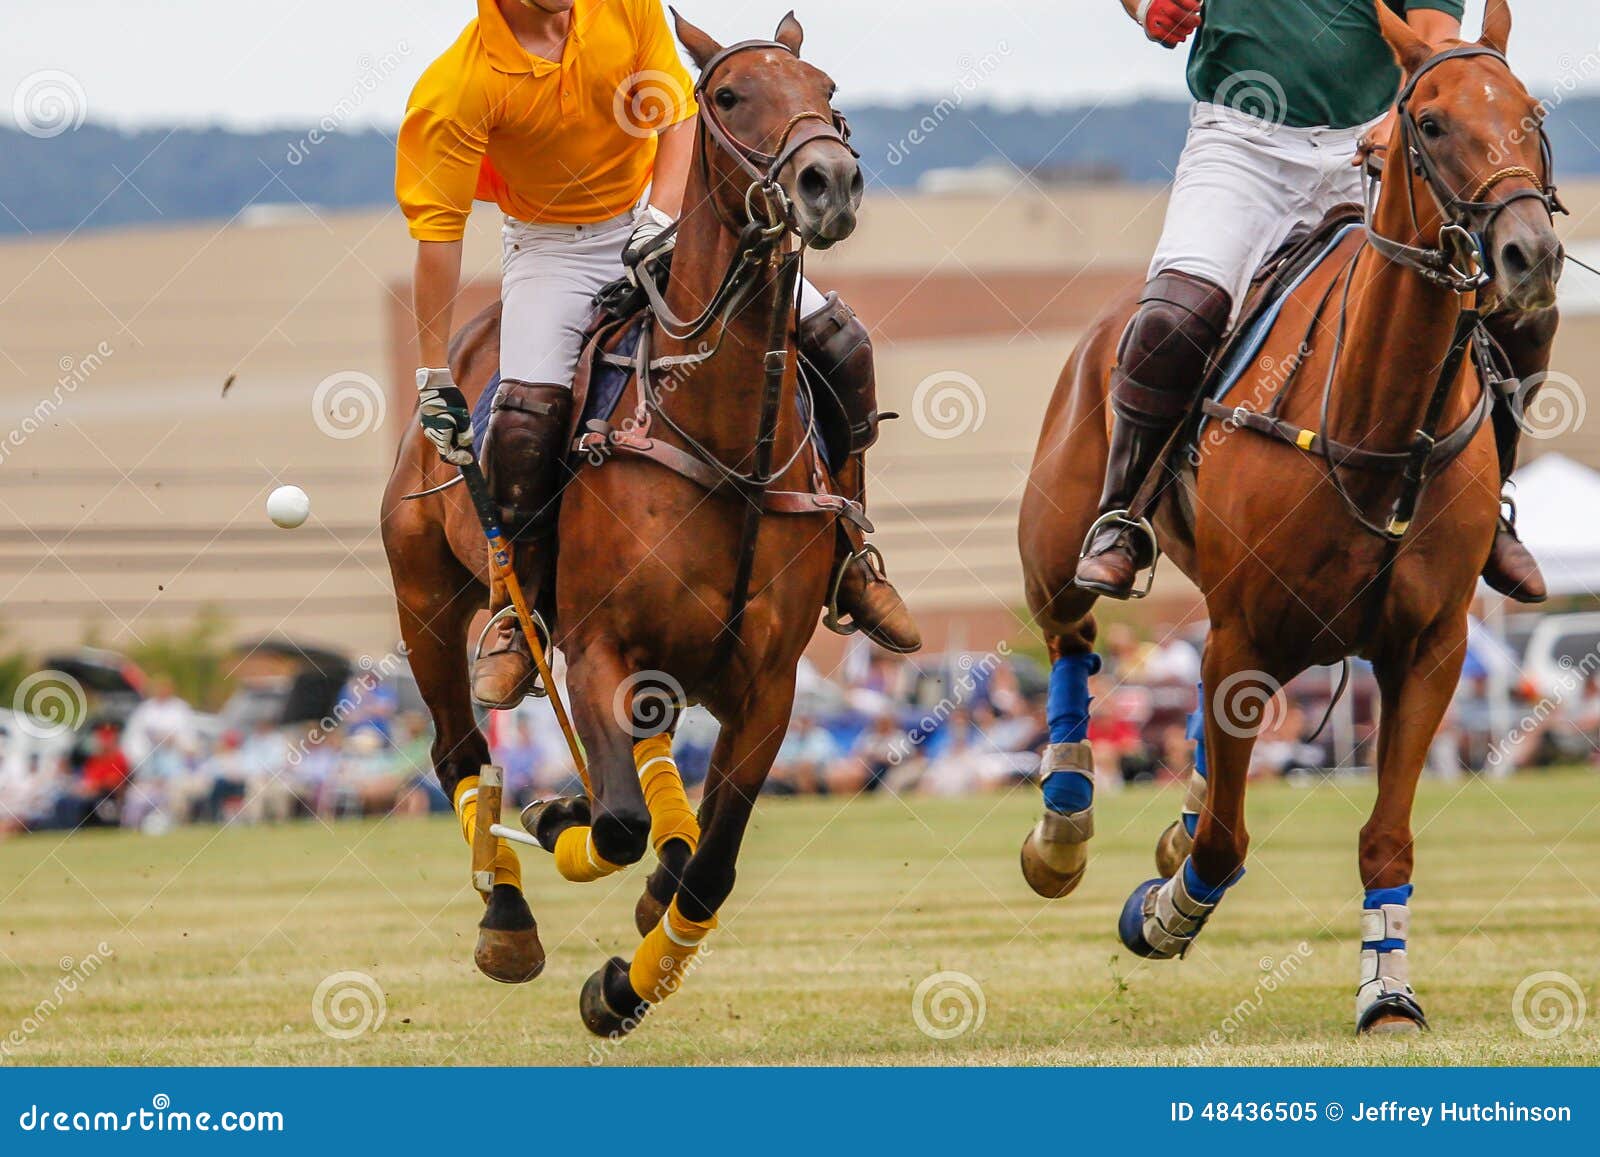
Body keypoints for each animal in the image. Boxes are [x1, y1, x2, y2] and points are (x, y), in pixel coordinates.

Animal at [1016, 0, 1564, 1034]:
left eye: (1532, 114)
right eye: (1430, 123)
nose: (1531, 255)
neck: (1379, 420)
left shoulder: (1430, 646)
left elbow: (1385, 837)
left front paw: (1387, 990)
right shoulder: (1243, 635)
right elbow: (1225, 845)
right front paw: (1160, 914)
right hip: (1055, 541)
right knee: (1072, 632)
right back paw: (1063, 826)